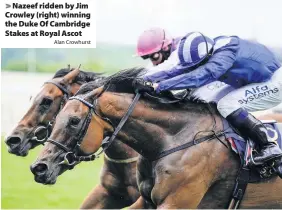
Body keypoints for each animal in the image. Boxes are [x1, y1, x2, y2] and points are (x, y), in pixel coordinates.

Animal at [30, 68, 282, 209]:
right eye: (57, 117)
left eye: (73, 121)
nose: (39, 167)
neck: (174, 140)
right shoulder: (143, 200)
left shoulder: (176, 202)